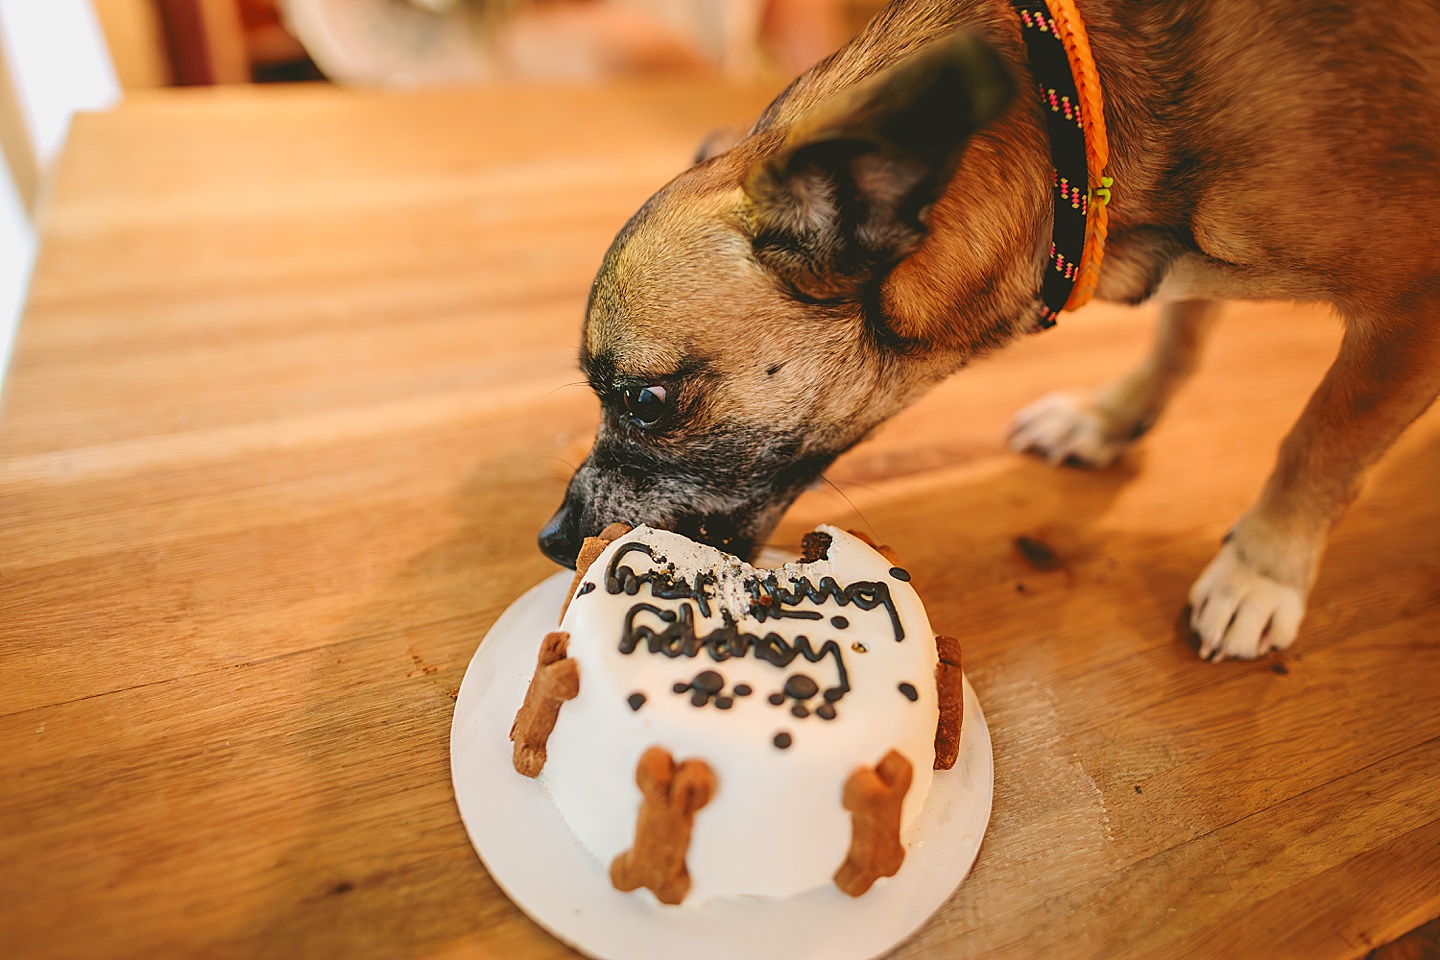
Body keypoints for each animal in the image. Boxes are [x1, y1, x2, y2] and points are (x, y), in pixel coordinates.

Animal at [538, 0, 1440, 662]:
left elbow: (1322, 439)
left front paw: (1262, 569)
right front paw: (1113, 417)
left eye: (646, 401)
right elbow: (1179, 335)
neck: (1073, 137)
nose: (551, 540)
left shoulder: (1412, 307)